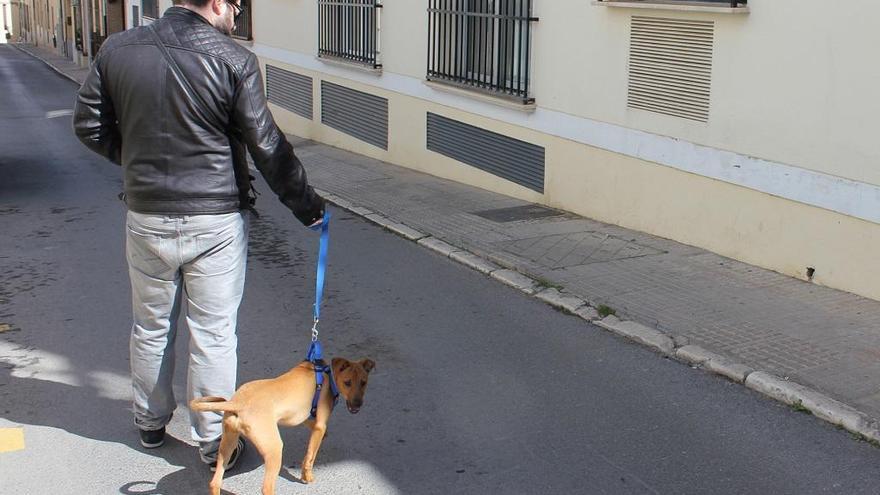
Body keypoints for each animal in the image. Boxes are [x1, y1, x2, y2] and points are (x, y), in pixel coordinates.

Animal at [191, 358, 372, 494]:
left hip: (227, 445)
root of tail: (238, 403)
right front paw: (307, 477)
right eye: (347, 383)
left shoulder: (301, 416)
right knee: (266, 488)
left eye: (364, 383)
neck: (327, 375)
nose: (358, 404)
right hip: (274, 450)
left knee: (215, 483)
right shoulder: (319, 425)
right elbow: (310, 456)